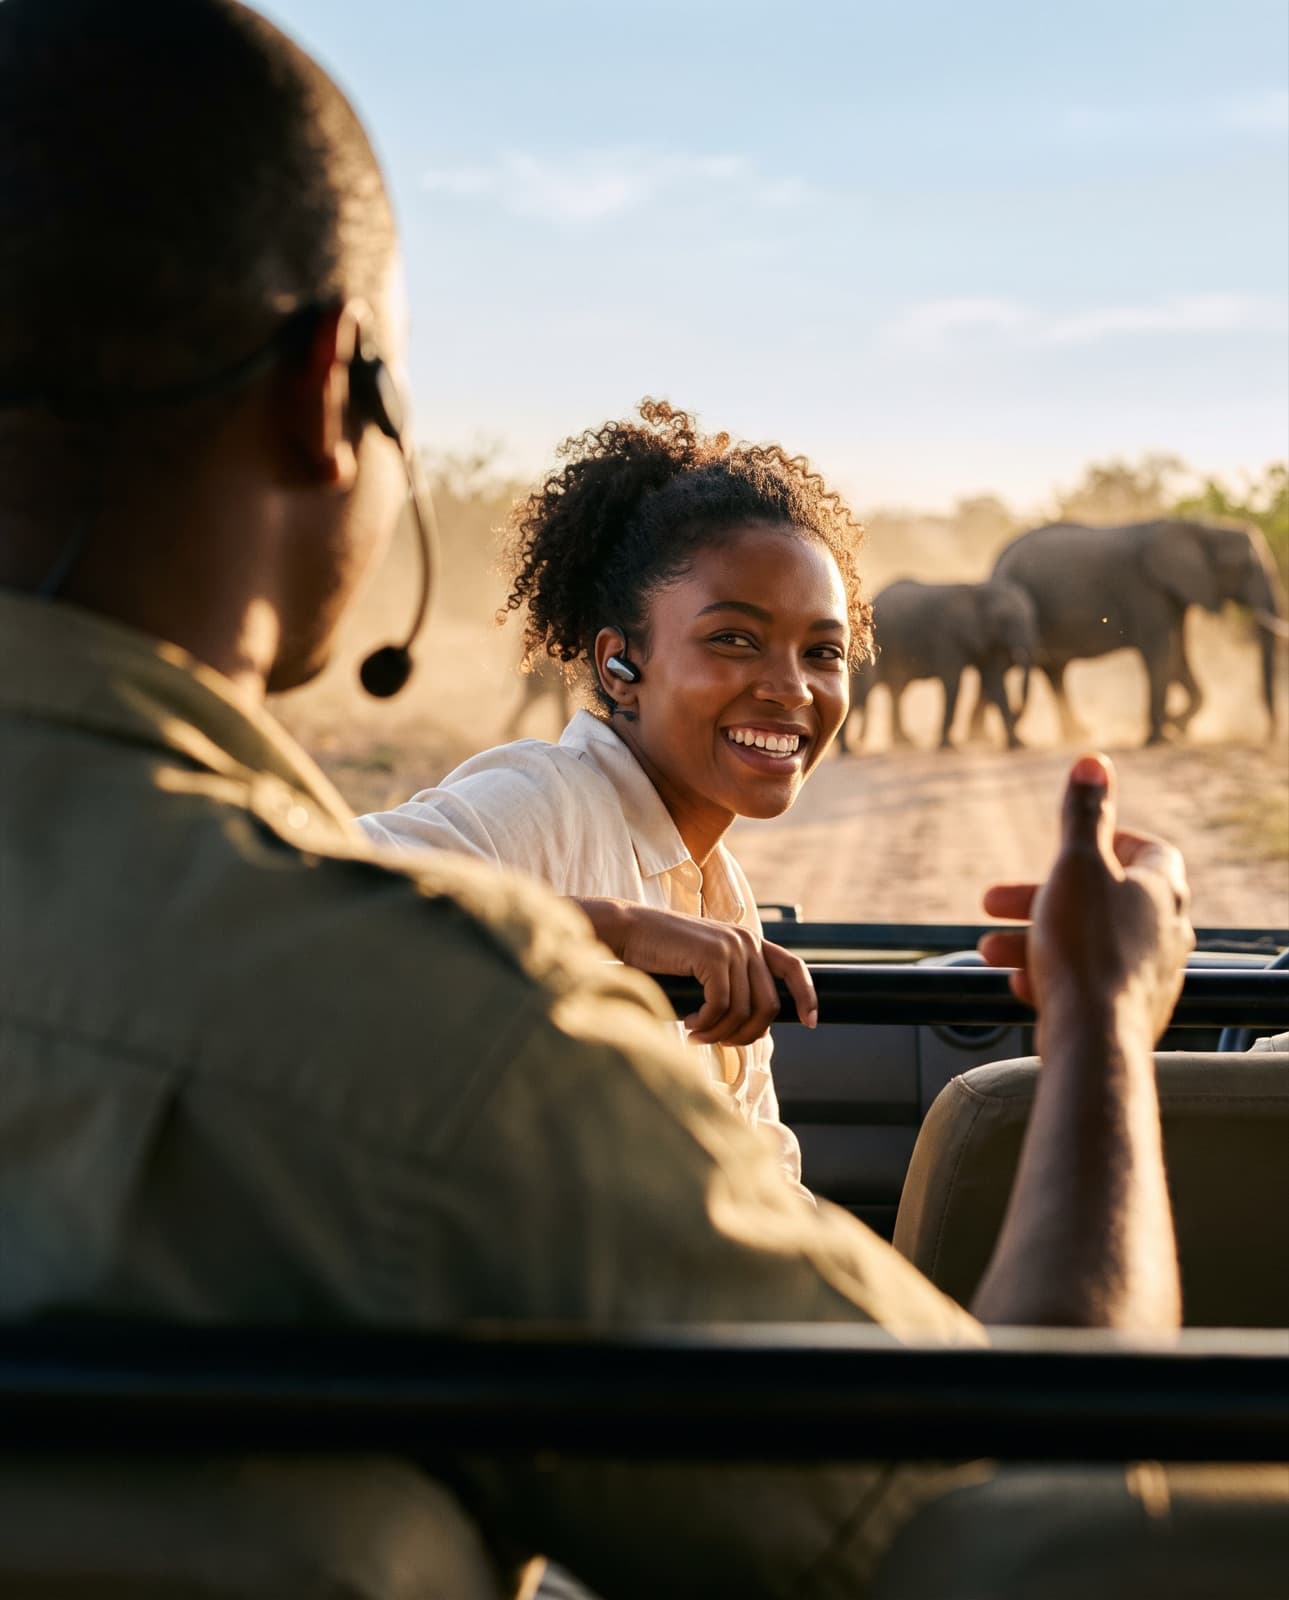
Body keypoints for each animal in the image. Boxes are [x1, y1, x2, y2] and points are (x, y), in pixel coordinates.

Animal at [840, 577, 1038, 753]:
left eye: (1032, 617)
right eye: (1004, 620)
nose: (1017, 711)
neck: (977, 589)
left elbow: (995, 682)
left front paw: (1018, 745)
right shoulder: (947, 637)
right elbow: (953, 683)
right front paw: (948, 746)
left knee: (897, 691)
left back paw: (904, 742)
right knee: (862, 694)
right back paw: (847, 750)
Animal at [970, 518, 1287, 747]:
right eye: (1244, 567)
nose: (1269, 737)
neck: (1201, 527)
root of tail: (997, 560)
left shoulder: (1173, 595)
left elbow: (1177, 654)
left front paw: (1175, 726)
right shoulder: (1145, 591)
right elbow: (1160, 652)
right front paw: (1159, 738)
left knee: (1053, 672)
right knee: (1006, 665)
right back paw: (983, 739)